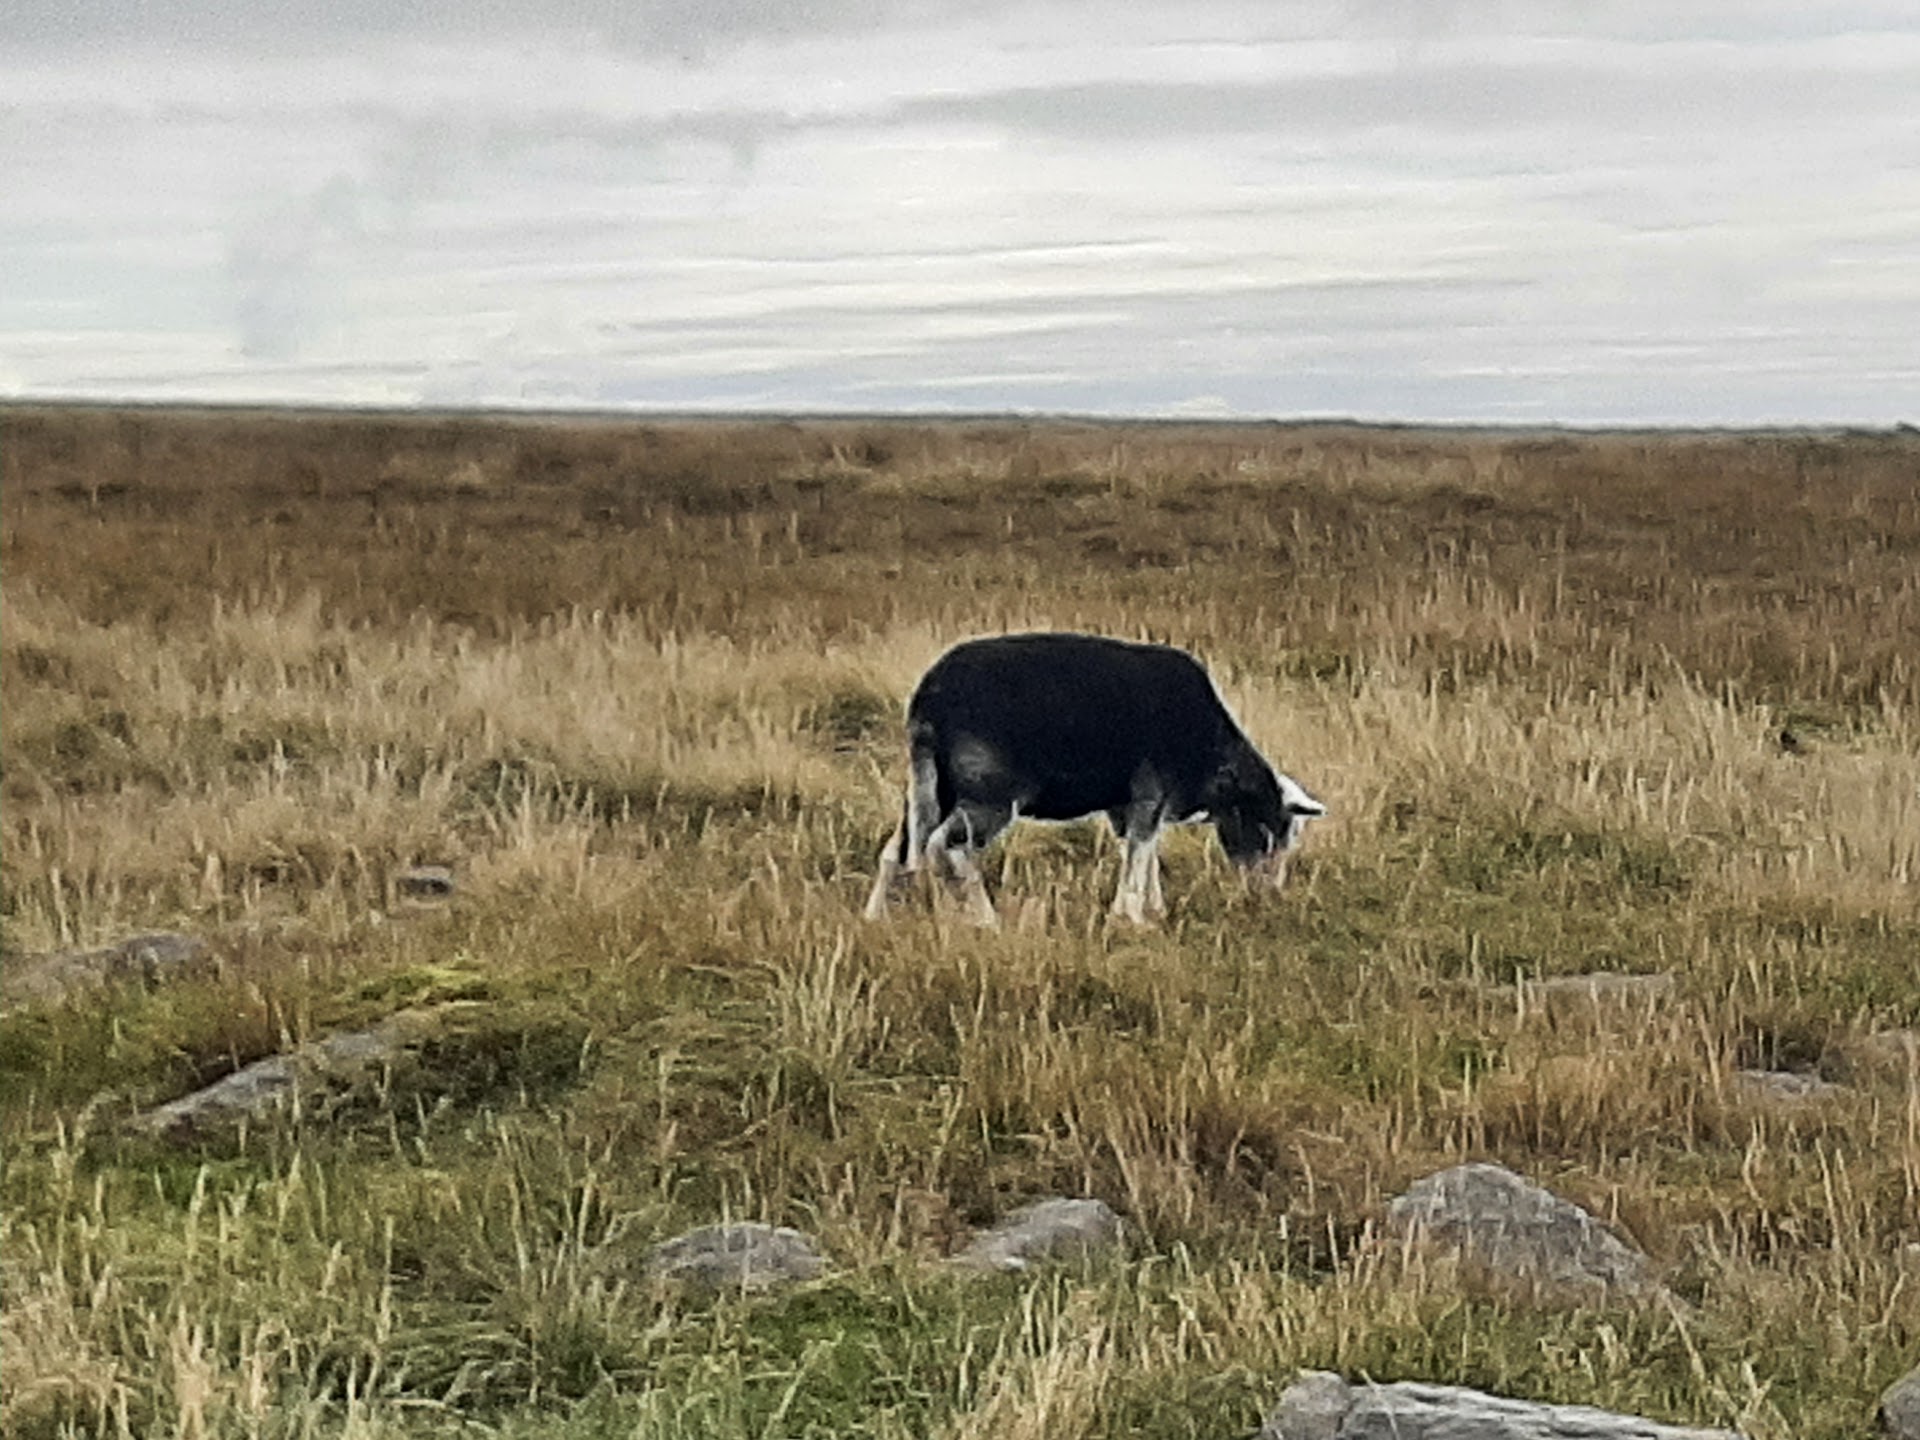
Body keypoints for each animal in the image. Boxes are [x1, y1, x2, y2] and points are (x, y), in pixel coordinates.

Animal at [862, 632, 1326, 926]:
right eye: (1268, 829)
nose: (1267, 897)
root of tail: (930, 699)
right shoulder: (1150, 793)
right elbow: (1141, 850)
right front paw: (1132, 917)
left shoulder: (1130, 805)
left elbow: (1143, 851)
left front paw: (1151, 909)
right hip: (988, 795)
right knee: (948, 847)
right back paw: (983, 920)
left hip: (930, 786)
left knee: (898, 850)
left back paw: (875, 917)